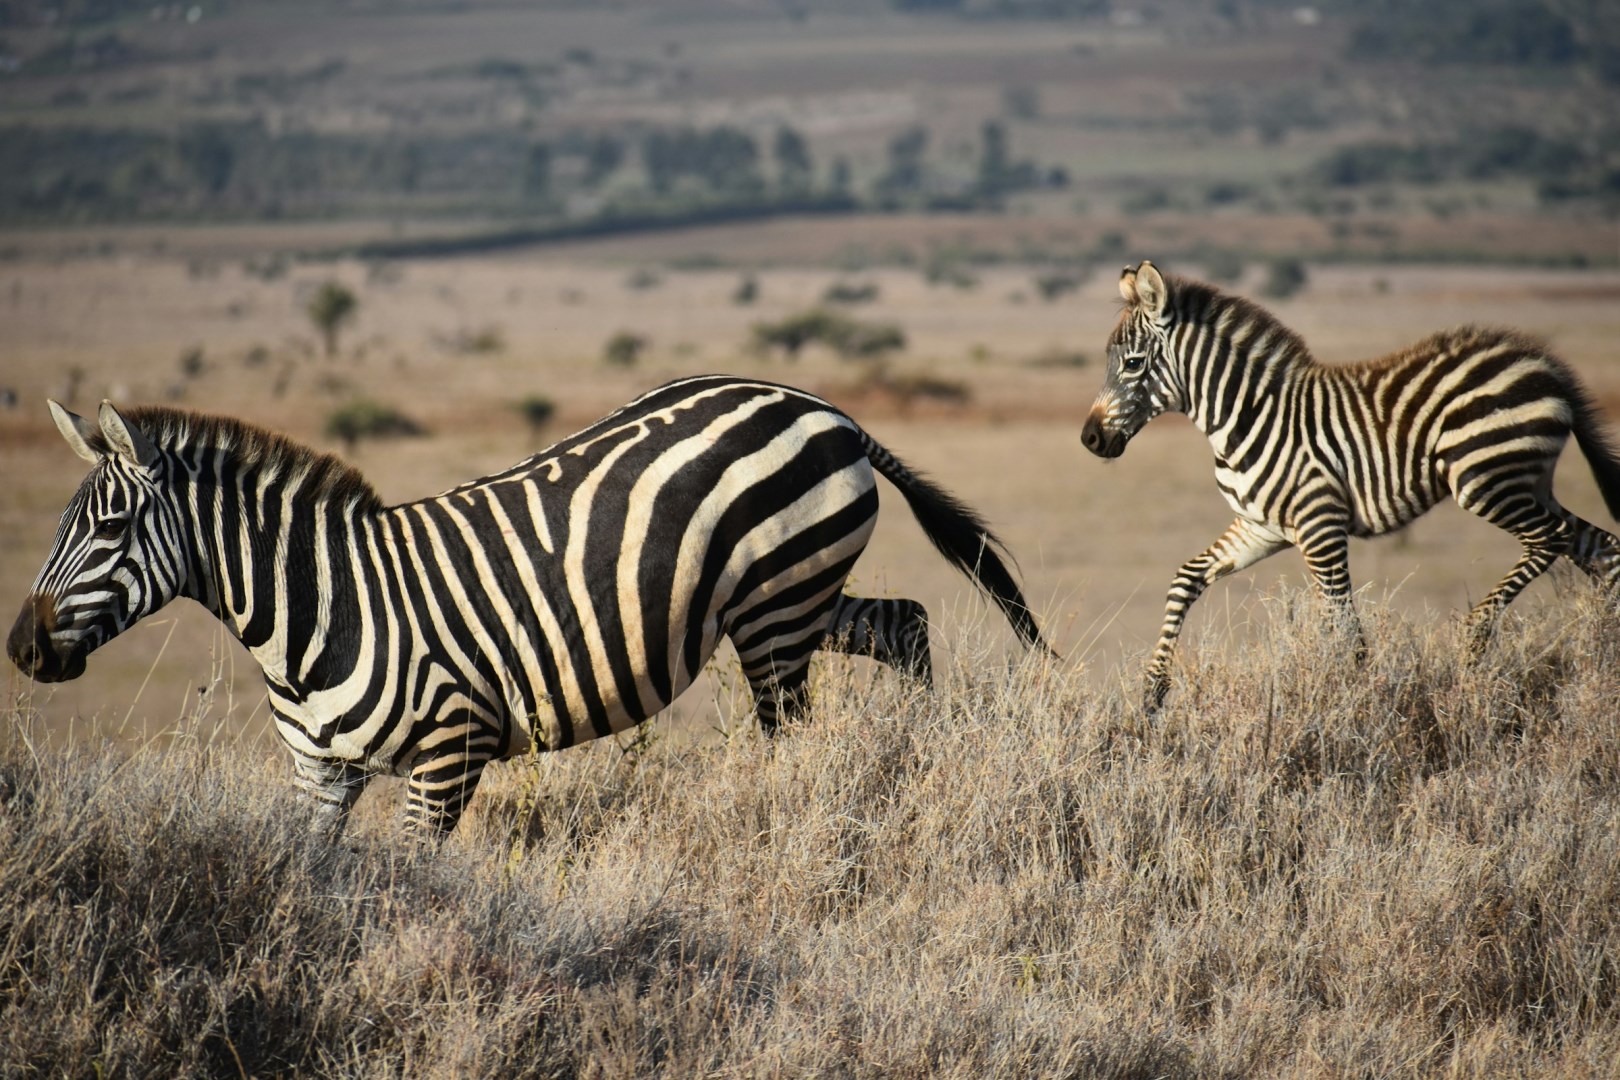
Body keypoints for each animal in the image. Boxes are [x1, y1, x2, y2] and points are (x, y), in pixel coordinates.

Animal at [8, 375, 1048, 835]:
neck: (314, 614)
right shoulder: (320, 775)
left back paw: (832, 806)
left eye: (108, 529)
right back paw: (921, 760)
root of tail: (819, 404)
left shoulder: (448, 754)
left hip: (778, 607)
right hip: (786, 598)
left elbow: (417, 892)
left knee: (796, 734)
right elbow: (307, 886)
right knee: (903, 622)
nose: (22, 649)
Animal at [1081, 260, 1620, 711]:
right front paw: (1152, 692)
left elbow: (1346, 631)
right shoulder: (1261, 527)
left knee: (1549, 539)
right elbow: (1185, 578)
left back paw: (1474, 637)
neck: (1245, 416)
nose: (1090, 439)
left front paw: (1356, 703)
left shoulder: (1320, 526)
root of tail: (1545, 363)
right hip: (1529, 482)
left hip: (1484, 478)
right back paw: (1603, 664)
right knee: (1602, 548)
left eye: (1132, 363)